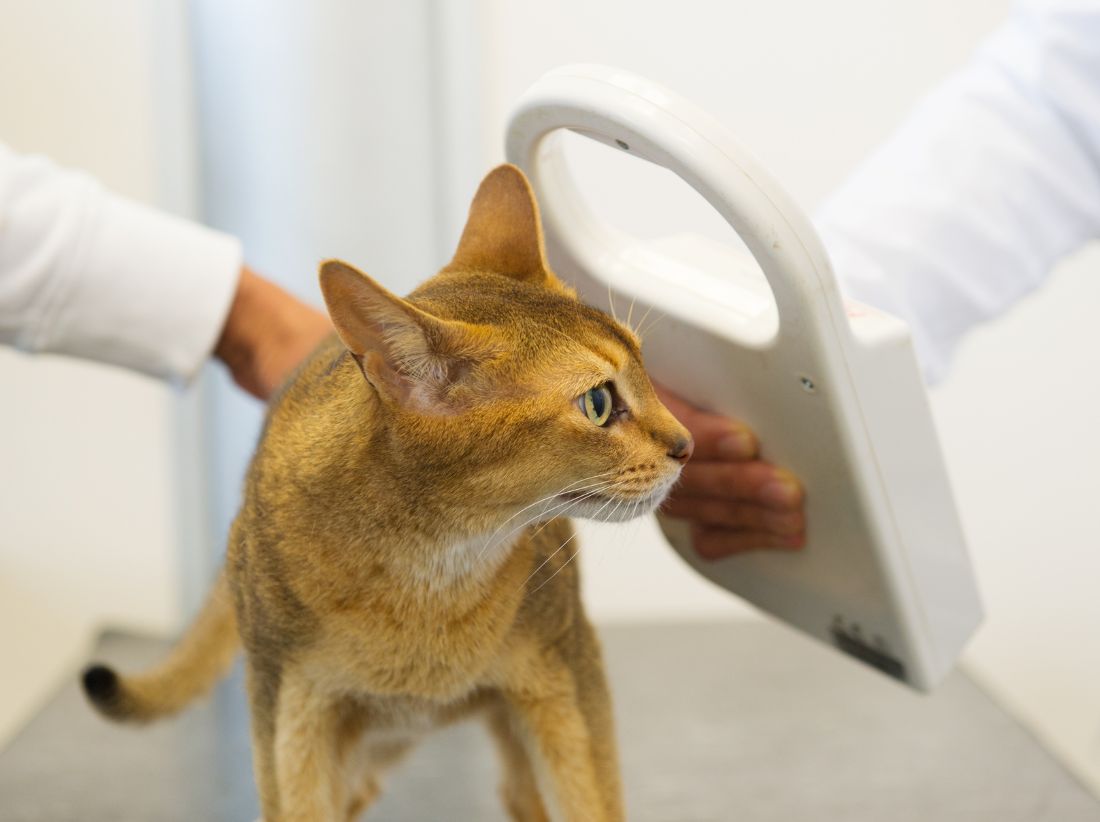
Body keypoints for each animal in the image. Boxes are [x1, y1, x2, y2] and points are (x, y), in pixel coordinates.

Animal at [81, 163, 690, 818]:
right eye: (598, 403)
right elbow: (297, 805)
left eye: (645, 366)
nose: (686, 445)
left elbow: (590, 803)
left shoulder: (568, 675)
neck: (432, 566)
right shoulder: (290, 710)